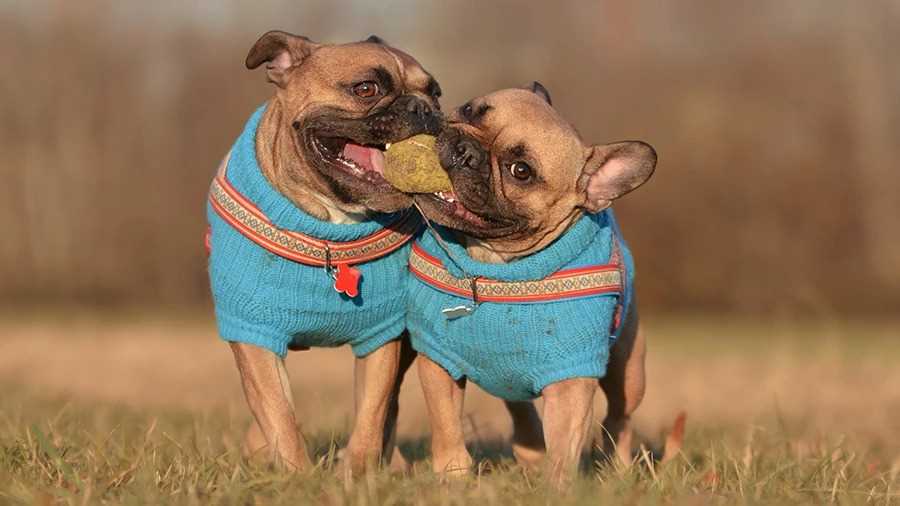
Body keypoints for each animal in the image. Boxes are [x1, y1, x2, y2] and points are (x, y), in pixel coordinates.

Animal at [205, 31, 442, 474]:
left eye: (436, 93)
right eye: (366, 89)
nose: (425, 109)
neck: (331, 226)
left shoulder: (381, 335)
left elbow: (372, 412)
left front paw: (357, 473)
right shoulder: (254, 334)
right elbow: (278, 414)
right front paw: (296, 475)